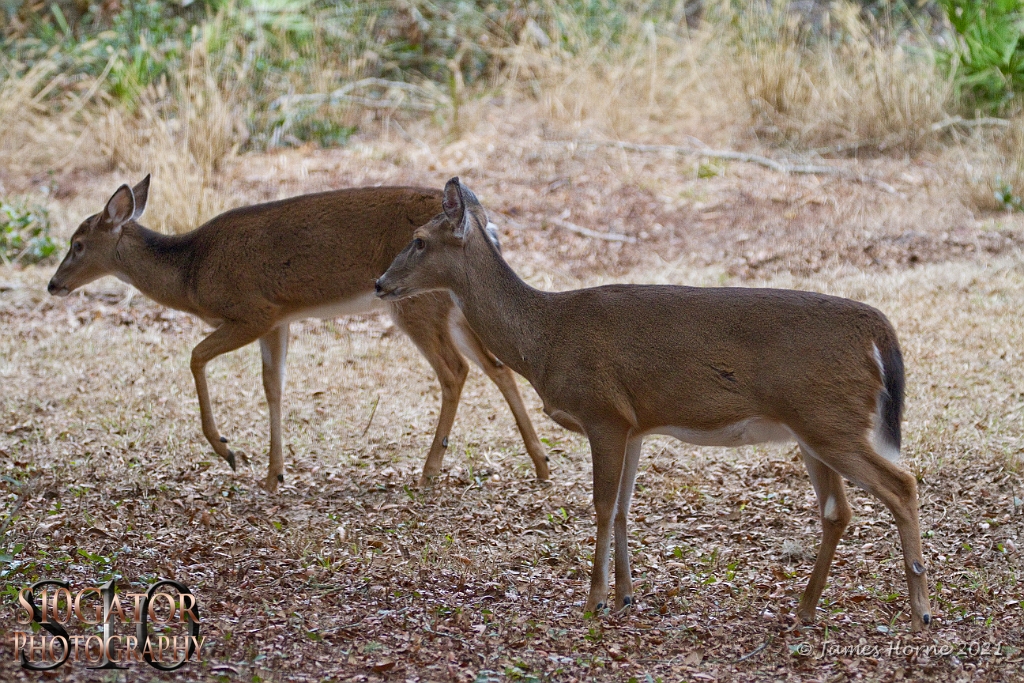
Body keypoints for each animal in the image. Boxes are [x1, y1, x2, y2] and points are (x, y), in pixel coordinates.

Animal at [46, 178, 552, 491]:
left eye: (78, 244)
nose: (53, 284)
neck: (190, 273)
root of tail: (482, 218)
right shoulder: (279, 319)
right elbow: (274, 386)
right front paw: (275, 475)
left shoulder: (252, 310)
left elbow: (195, 356)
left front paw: (227, 451)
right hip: (455, 306)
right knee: (497, 366)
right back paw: (542, 464)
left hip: (416, 301)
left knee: (455, 371)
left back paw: (428, 471)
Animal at [376, 179, 937, 634]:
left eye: (419, 240)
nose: (381, 283)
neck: (544, 338)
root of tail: (879, 332)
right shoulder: (635, 424)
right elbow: (625, 507)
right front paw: (626, 595)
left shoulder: (602, 412)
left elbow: (603, 506)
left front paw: (594, 600)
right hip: (813, 429)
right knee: (838, 510)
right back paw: (804, 608)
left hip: (832, 421)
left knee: (902, 484)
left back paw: (920, 611)